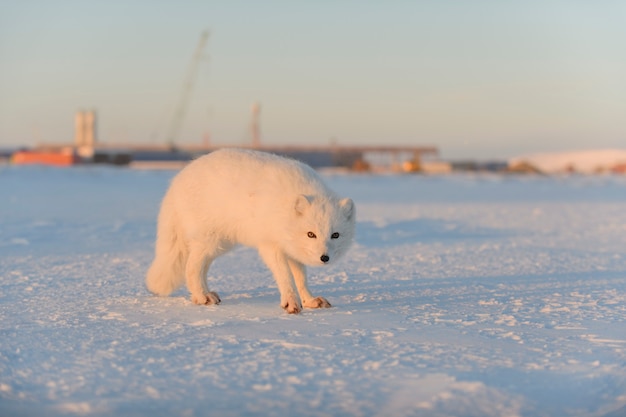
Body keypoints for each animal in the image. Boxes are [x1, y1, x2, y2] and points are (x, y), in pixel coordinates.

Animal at [143, 148, 354, 314]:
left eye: (335, 235)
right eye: (311, 234)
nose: (324, 258)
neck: (285, 208)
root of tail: (177, 180)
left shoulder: (291, 247)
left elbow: (301, 278)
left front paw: (309, 300)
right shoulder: (270, 245)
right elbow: (285, 276)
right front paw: (291, 302)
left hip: (219, 245)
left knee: (201, 267)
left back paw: (207, 294)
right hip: (209, 240)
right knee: (191, 267)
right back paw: (201, 297)